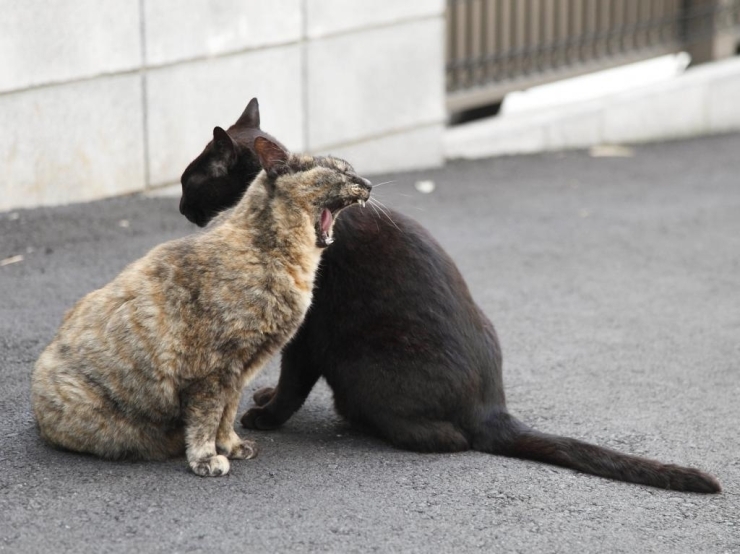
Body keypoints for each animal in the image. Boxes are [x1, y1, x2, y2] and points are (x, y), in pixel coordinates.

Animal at [30, 137, 370, 474]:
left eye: (351, 169)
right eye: (338, 171)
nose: (367, 183)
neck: (266, 249)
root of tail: (38, 420)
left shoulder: (239, 369)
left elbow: (227, 412)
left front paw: (232, 446)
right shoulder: (211, 368)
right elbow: (207, 417)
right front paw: (206, 458)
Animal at [181, 97, 724, 490]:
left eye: (189, 182)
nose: (183, 207)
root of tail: (492, 409)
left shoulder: (308, 333)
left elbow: (293, 382)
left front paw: (266, 415)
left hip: (359, 358)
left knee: (449, 438)